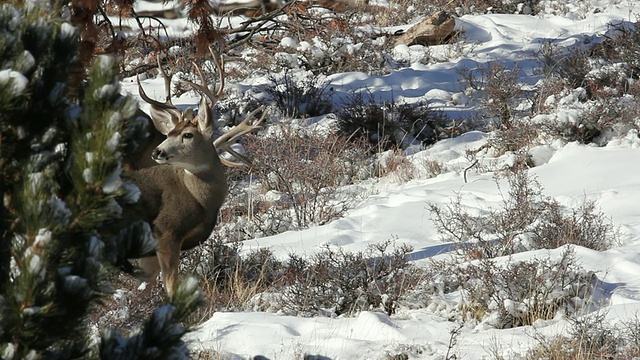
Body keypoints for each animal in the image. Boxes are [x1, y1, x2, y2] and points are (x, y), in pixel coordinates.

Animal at [127, 48, 264, 298]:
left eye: (187, 134)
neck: (201, 200)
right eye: (169, 132)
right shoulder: (166, 232)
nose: (158, 151)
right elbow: (171, 288)